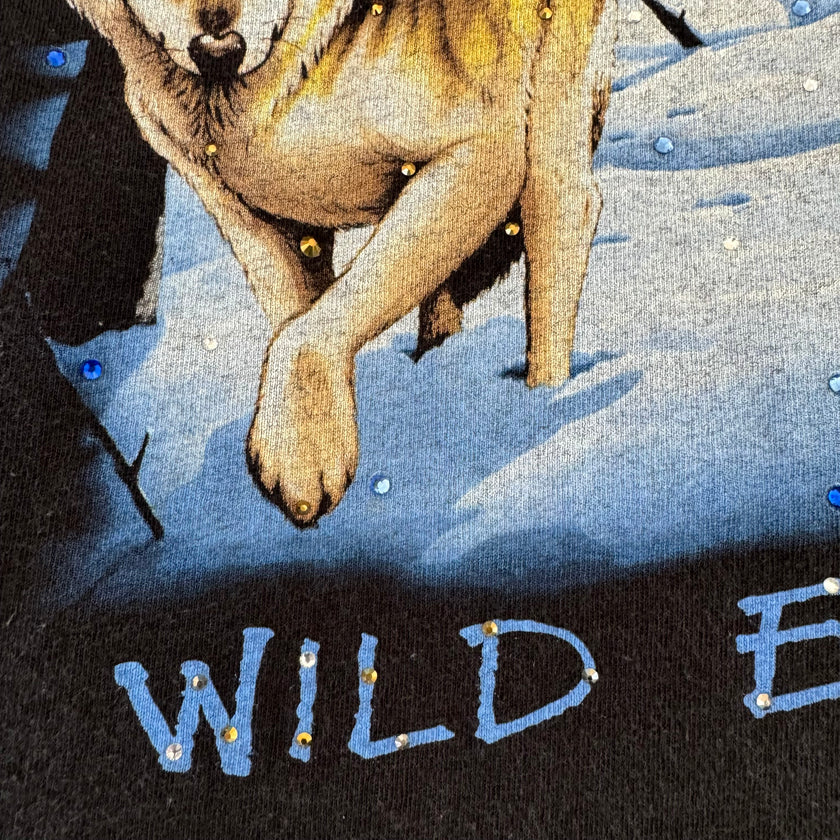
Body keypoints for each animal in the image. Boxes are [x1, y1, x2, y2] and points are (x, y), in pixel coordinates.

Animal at [66, 0, 618, 526]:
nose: (219, 50)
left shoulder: (484, 152)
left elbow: (311, 328)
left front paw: (299, 467)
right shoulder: (250, 215)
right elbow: (297, 315)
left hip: (549, 130)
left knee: (563, 223)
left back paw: (539, 404)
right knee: (441, 300)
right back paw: (434, 367)